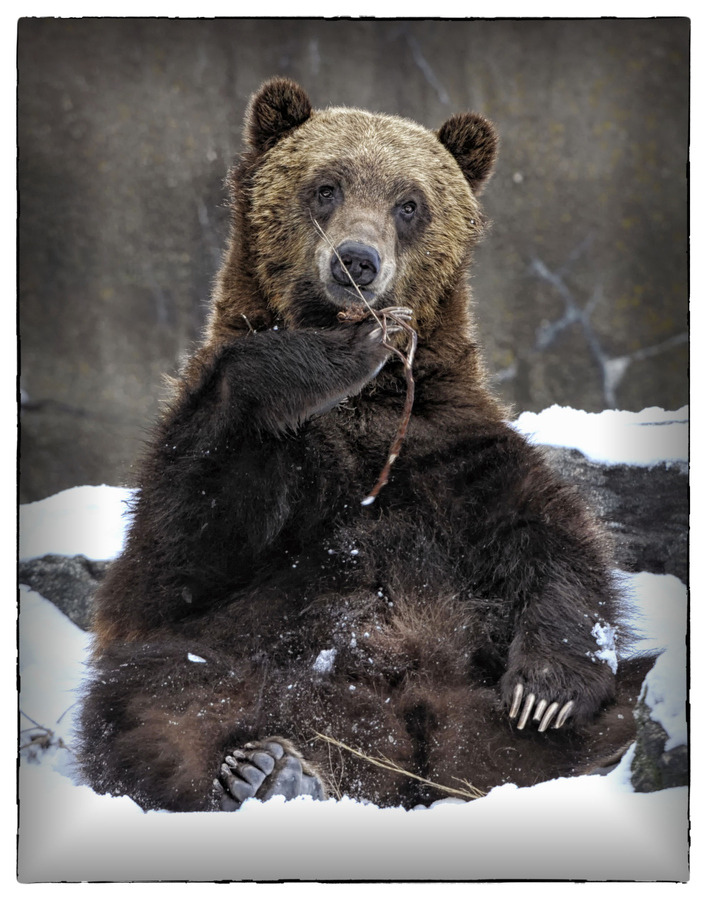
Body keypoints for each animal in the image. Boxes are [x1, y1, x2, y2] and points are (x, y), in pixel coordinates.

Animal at [76, 75, 648, 808]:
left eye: (410, 203)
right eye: (326, 187)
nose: (356, 261)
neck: (371, 413)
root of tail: (403, 754)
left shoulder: (450, 451)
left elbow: (554, 540)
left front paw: (545, 690)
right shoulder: (251, 475)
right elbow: (176, 556)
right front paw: (341, 352)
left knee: (622, 704)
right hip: (257, 670)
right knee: (154, 696)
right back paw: (266, 772)